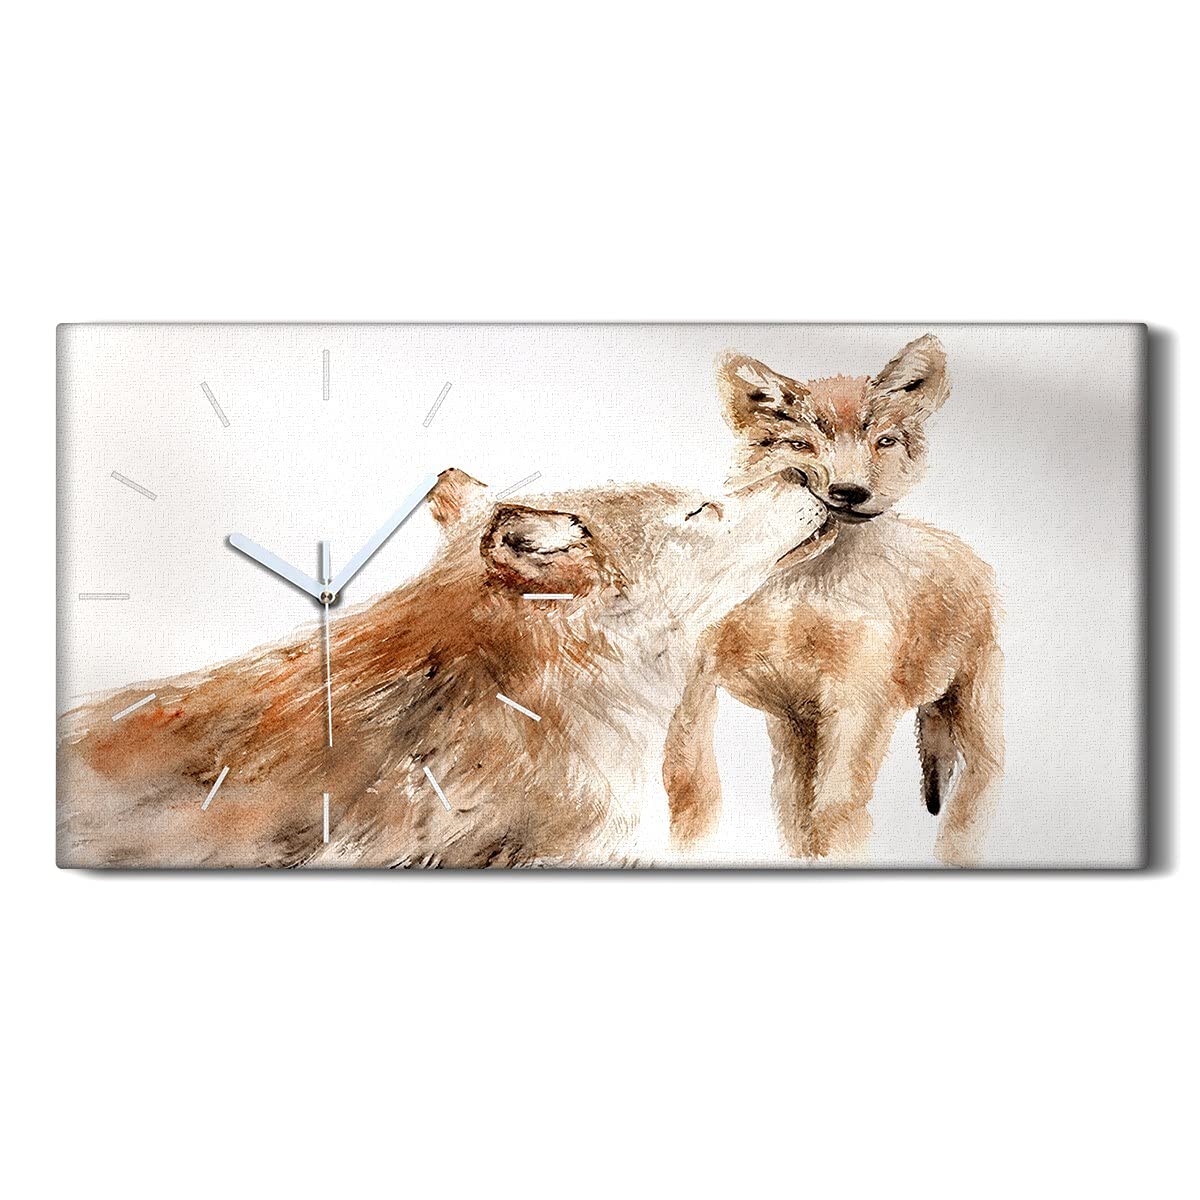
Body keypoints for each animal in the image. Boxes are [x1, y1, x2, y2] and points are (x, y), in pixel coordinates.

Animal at [663, 335, 1003, 865]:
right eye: (801, 445)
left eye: (883, 441)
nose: (848, 491)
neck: (796, 597)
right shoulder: (697, 688)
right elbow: (692, 798)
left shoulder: (857, 703)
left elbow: (837, 816)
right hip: (798, 733)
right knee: (792, 806)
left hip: (972, 714)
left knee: (976, 796)